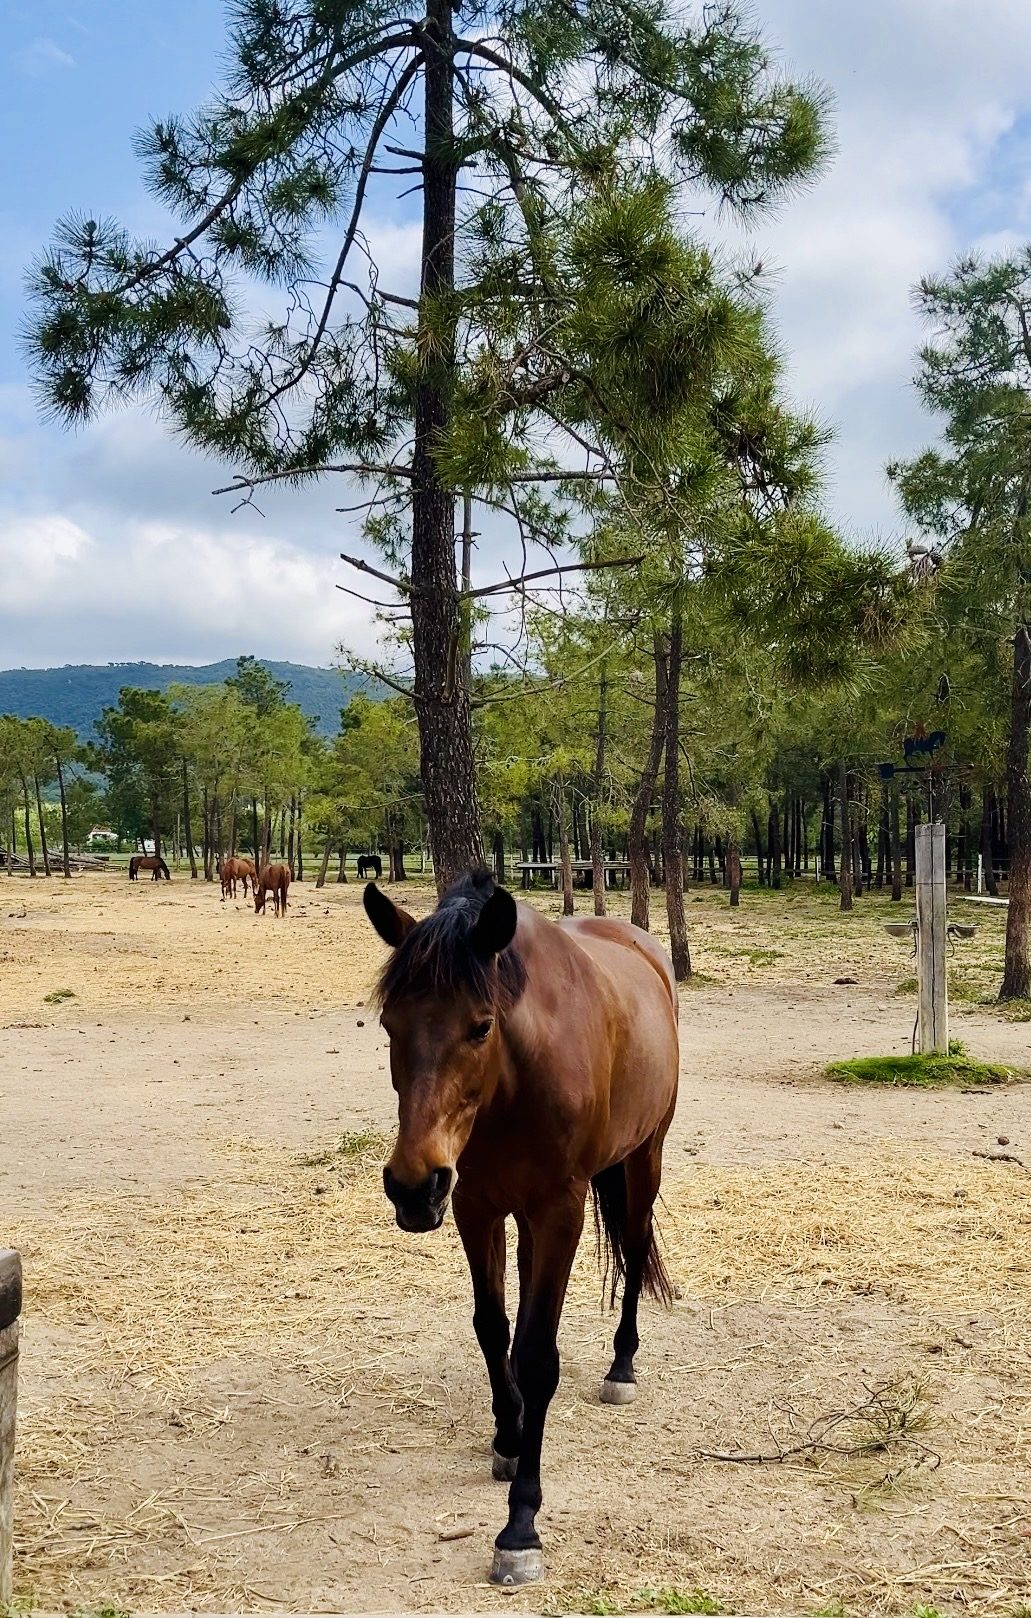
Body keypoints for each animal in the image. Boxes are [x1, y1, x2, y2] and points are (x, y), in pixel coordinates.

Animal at [363, 867, 679, 1586]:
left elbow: (537, 1355)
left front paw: (520, 1527)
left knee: (634, 1248)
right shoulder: (476, 1206)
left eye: (480, 1026)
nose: (411, 1186)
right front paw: (509, 1435)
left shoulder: (559, 1208)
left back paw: (622, 1366)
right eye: (389, 1023)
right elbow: (492, 1327)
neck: (515, 1080)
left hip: (642, 1159)